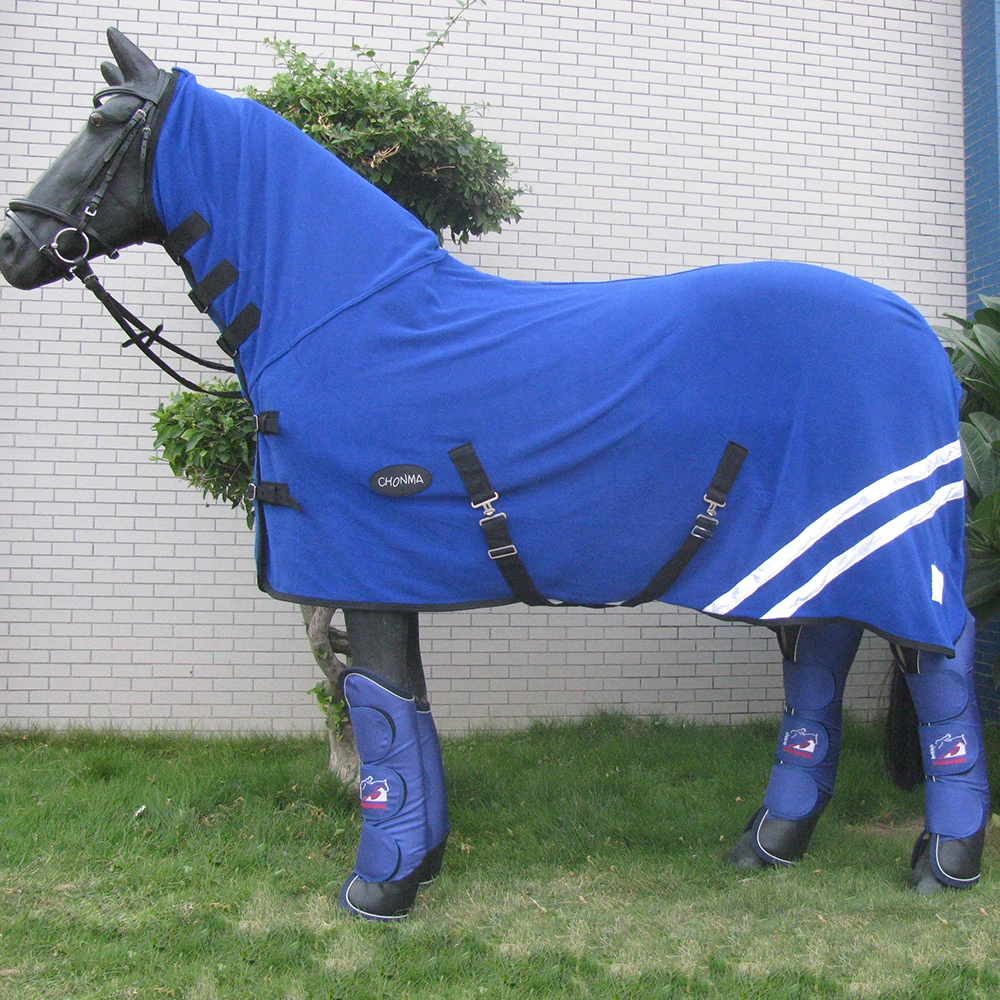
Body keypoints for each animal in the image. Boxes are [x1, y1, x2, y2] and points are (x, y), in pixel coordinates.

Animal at [0, 29, 990, 921]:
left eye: (103, 120)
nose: (15, 244)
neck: (343, 320)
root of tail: (923, 340)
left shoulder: (363, 567)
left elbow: (378, 711)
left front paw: (380, 889)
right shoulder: (383, 577)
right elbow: (408, 710)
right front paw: (421, 864)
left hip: (897, 560)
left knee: (939, 665)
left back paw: (944, 862)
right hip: (819, 555)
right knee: (820, 664)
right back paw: (769, 844)